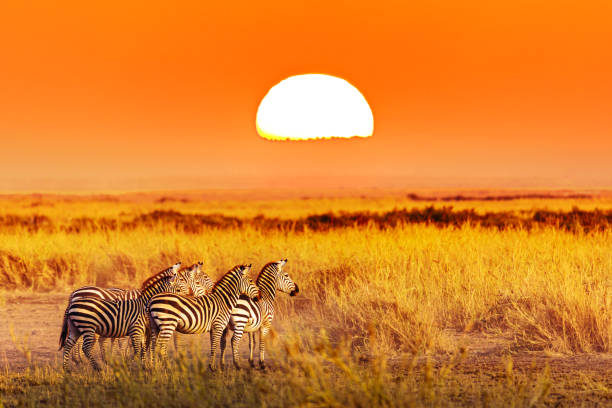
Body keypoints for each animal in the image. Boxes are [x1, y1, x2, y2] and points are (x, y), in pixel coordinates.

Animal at [57, 262, 196, 372]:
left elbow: (142, 347)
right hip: (88, 327)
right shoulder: (136, 328)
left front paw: (142, 364)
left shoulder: (142, 329)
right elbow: (137, 347)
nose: (189, 298)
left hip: (76, 327)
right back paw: (92, 365)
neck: (144, 303)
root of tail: (73, 296)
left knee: (69, 344)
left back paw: (69, 368)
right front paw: (135, 364)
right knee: (84, 346)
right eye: (179, 287)